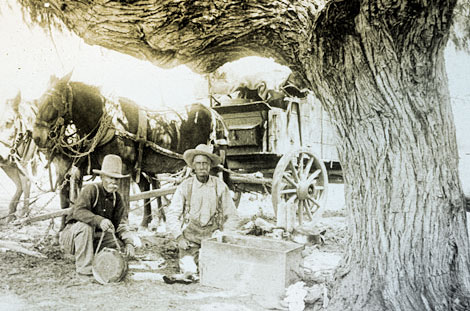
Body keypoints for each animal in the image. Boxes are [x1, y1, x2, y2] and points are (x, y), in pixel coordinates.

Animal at [32, 73, 227, 229]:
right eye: (38, 102)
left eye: (51, 103)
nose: (37, 137)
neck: (111, 122)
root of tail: (214, 113)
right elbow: (72, 195)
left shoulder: (123, 169)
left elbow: (124, 199)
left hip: (211, 162)